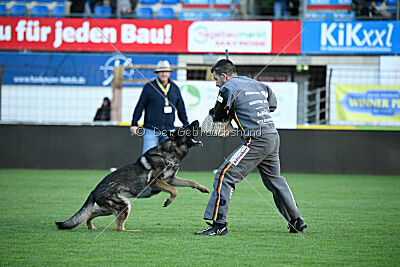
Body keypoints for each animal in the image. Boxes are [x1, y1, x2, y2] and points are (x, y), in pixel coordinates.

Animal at [55, 121, 209, 232]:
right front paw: (168, 201)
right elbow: (175, 191)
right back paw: (132, 231)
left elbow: (190, 181)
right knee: (118, 228)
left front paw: (202, 188)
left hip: (110, 209)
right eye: (184, 128)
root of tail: (94, 190)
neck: (169, 154)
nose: (196, 120)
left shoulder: (172, 180)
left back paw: (91, 226)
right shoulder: (155, 181)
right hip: (124, 206)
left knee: (91, 213)